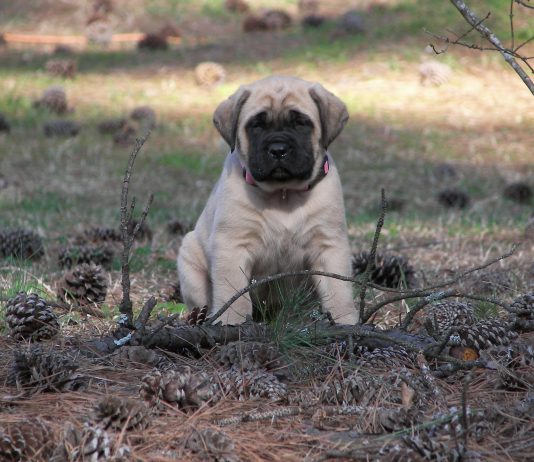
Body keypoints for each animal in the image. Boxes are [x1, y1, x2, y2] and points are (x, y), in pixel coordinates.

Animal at [178, 75, 358, 324]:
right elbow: (232, 290)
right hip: (190, 260)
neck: (283, 195)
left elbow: (338, 289)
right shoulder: (232, 245)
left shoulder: (329, 245)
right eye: (256, 126)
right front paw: (231, 321)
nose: (278, 149)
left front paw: (344, 321)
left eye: (301, 123)